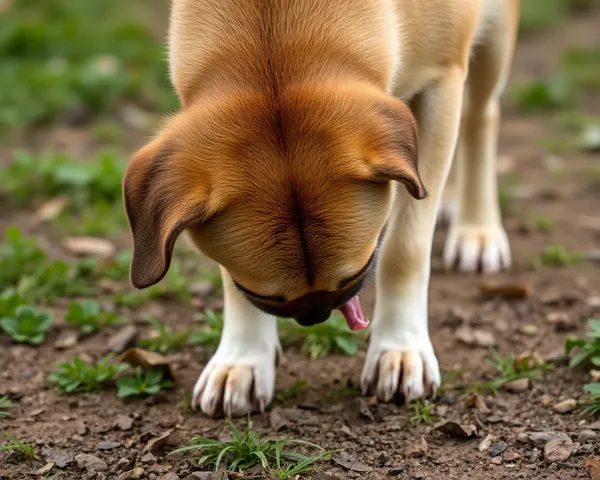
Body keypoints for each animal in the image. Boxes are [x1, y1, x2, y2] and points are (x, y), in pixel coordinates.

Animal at [123, 0, 520, 416]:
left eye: (355, 275)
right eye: (267, 298)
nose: (315, 316)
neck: (274, 24)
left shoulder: (442, 81)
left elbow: (405, 248)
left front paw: (399, 346)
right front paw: (243, 358)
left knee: (480, 116)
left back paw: (477, 230)